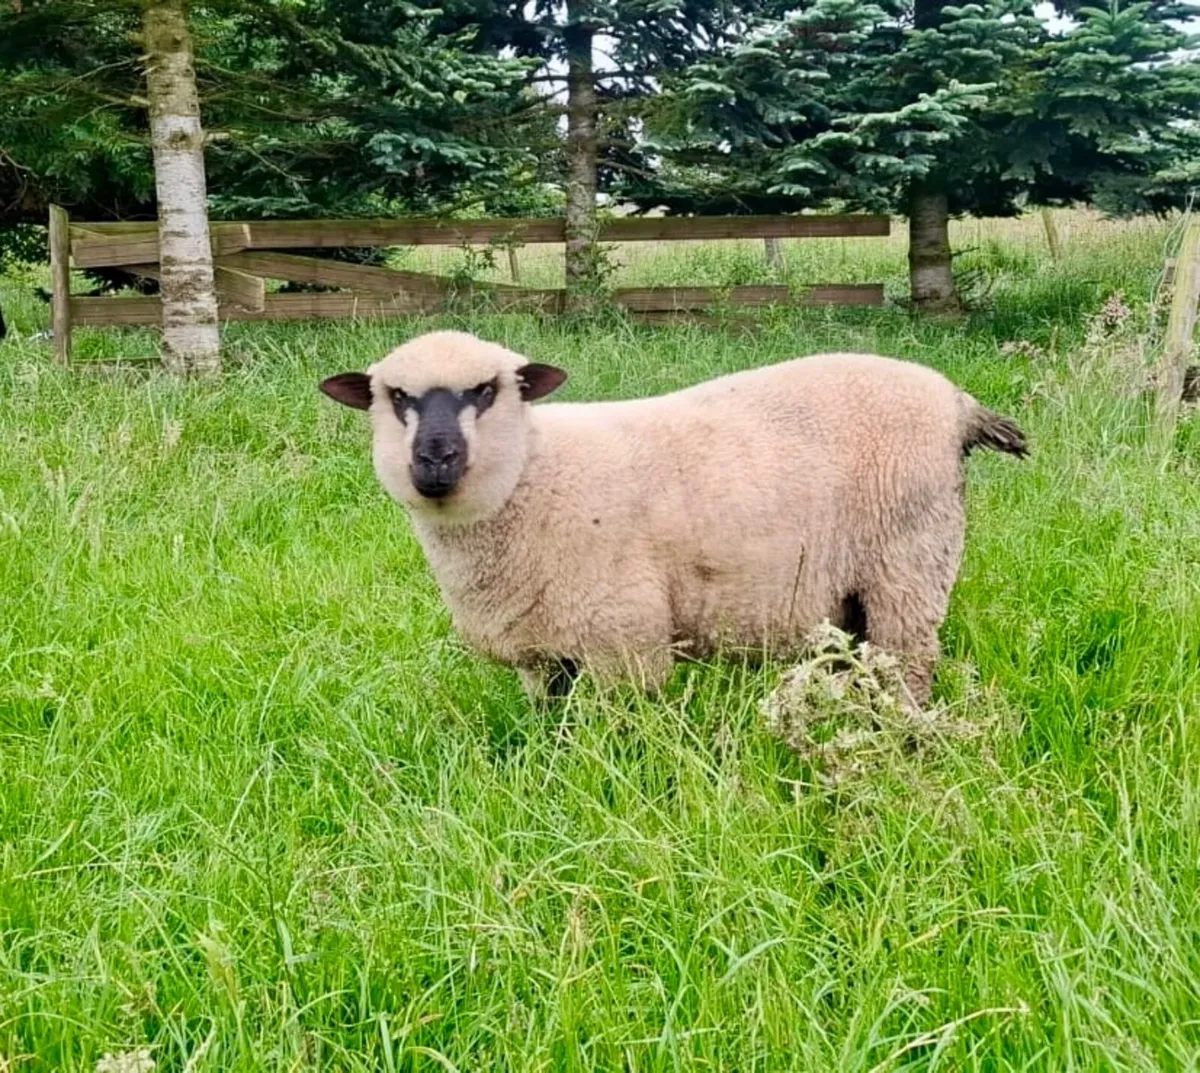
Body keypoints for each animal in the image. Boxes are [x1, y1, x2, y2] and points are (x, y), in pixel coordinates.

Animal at [320, 329, 1026, 705]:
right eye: (397, 398)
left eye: (486, 391)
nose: (435, 458)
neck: (535, 474)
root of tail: (956, 402)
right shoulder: (541, 657)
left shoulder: (624, 639)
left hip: (909, 561)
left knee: (910, 665)